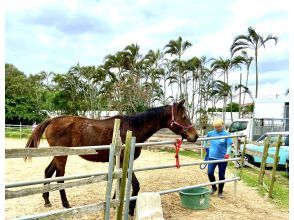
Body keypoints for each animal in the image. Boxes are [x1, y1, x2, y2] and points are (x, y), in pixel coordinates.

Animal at [24, 99, 198, 215]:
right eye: (183, 116)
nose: (195, 135)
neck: (132, 129)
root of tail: (52, 119)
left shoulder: (120, 162)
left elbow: (121, 182)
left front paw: (116, 202)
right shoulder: (122, 160)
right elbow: (134, 185)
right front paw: (129, 209)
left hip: (57, 154)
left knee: (48, 172)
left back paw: (47, 200)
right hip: (62, 155)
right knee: (60, 177)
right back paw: (66, 204)